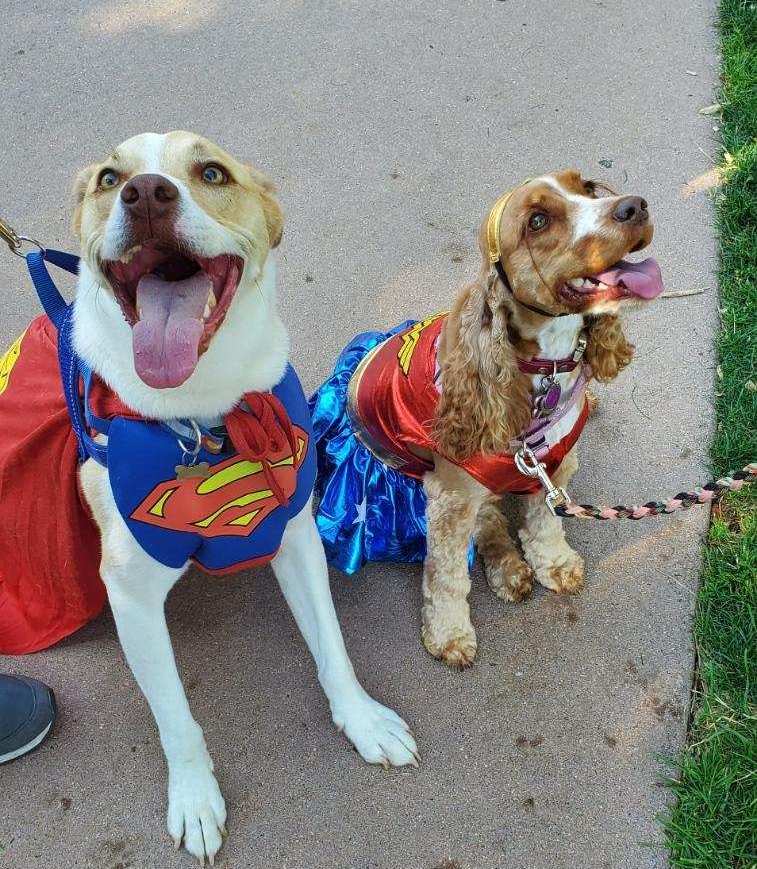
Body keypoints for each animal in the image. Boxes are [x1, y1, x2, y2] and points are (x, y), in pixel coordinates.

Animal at [66, 132, 414, 864]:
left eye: (211, 173)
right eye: (109, 178)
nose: (145, 193)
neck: (205, 416)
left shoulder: (296, 534)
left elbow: (333, 646)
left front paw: (362, 719)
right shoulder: (131, 597)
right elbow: (176, 717)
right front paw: (195, 798)